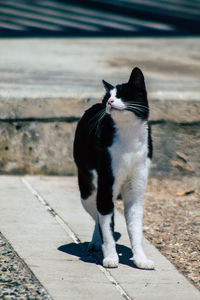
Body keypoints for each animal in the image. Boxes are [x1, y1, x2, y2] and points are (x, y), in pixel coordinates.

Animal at [73, 67, 155, 270]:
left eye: (122, 94)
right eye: (107, 97)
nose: (109, 102)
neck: (129, 137)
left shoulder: (136, 188)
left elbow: (135, 228)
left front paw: (141, 259)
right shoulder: (106, 183)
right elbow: (107, 227)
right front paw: (110, 256)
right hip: (87, 186)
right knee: (97, 215)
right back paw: (97, 242)